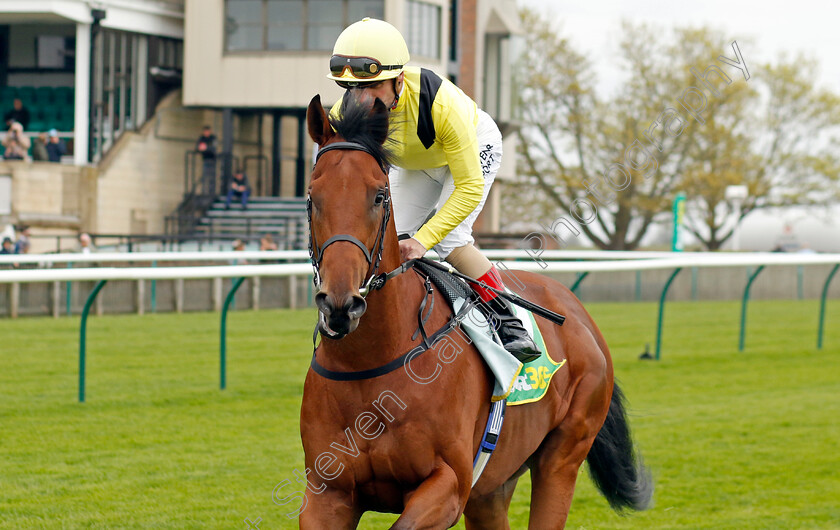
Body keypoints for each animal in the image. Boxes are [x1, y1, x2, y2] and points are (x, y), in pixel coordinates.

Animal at [298, 93, 652, 524]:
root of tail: (581, 316)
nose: (340, 303)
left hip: (563, 455)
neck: (369, 363)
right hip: (493, 487)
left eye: (379, 195)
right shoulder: (327, 492)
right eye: (312, 196)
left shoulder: (449, 485)